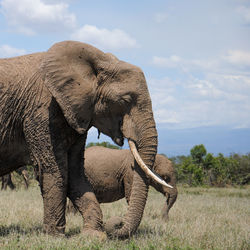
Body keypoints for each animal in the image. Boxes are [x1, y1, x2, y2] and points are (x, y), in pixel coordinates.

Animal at [0, 41, 170, 238]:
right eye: (126, 100)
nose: (117, 222)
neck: (98, 60)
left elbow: (75, 172)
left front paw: (93, 235)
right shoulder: (40, 112)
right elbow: (55, 170)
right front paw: (55, 236)